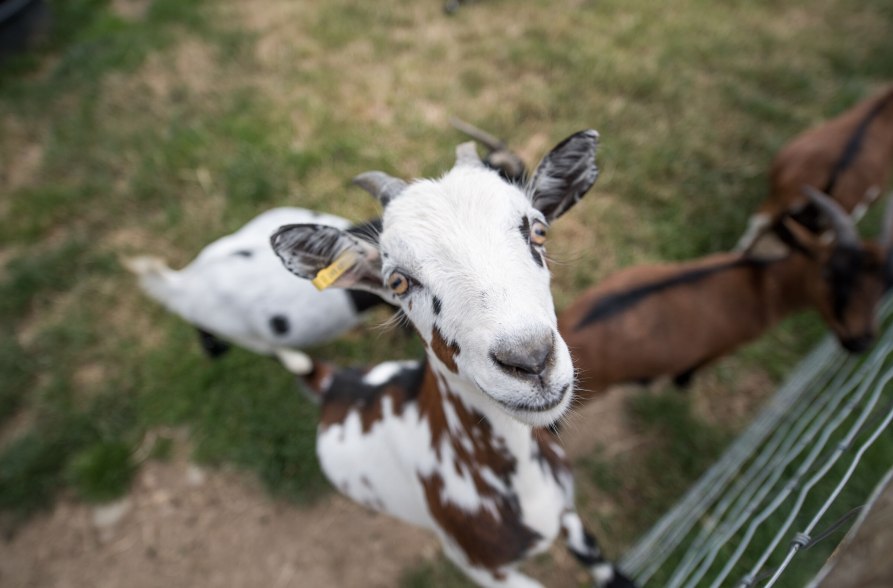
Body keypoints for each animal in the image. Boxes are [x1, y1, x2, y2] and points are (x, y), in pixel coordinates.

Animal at [271, 132, 635, 587]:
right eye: (398, 281)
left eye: (537, 230)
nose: (531, 360)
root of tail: (333, 382)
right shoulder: (483, 567)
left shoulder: (569, 515)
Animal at [560, 187, 893, 400]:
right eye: (830, 274)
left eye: (883, 288)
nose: (862, 341)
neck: (762, 284)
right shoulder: (724, 346)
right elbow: (694, 367)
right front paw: (682, 383)